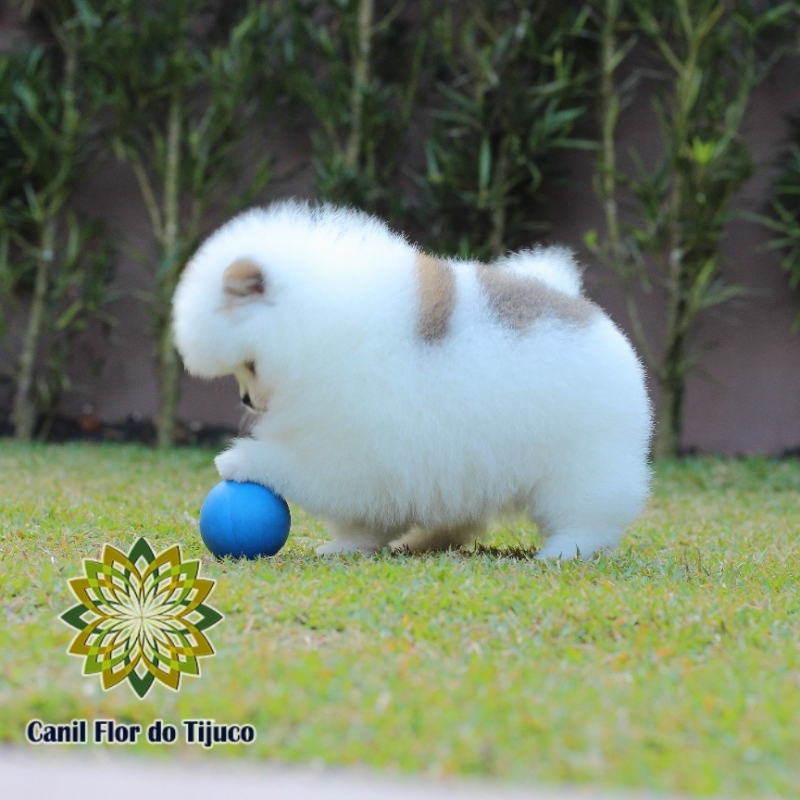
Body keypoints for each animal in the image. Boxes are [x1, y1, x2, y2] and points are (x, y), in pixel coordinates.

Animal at [173, 203, 648, 560]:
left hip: (582, 465)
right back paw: (424, 540)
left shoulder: (342, 448)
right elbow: (361, 520)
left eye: (250, 365)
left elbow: (298, 468)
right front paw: (348, 547)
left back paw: (563, 551)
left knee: (589, 518)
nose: (247, 400)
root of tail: (589, 312)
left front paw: (240, 459)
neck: (312, 325)